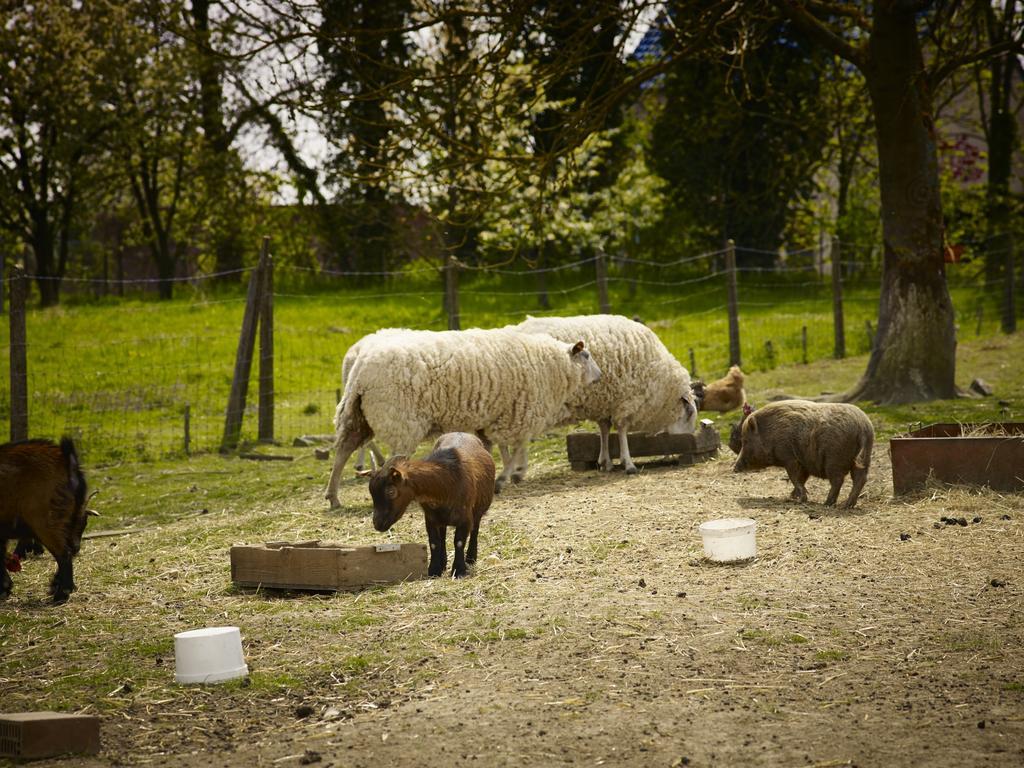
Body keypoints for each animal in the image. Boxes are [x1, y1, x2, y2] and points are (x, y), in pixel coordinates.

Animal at [0, 436, 96, 606]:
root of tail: (67, 461)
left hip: (44, 520)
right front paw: (5, 588)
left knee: (64, 554)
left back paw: (61, 595)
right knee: (68, 550)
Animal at [325, 325, 598, 512]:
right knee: (392, 461)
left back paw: (333, 496)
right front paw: (508, 476)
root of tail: (361, 371)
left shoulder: (494, 416)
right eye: (586, 356)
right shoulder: (516, 412)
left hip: (357, 417)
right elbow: (517, 445)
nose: (600, 376)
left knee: (343, 452)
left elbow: (500, 448)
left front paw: (508, 473)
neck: (554, 365)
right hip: (402, 420)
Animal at [364, 436, 495, 581]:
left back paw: (471, 558)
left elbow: (459, 542)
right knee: (442, 536)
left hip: (477, 510)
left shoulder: (465, 517)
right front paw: (434, 570)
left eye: (391, 491)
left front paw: (459, 571)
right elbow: (434, 543)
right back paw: (443, 562)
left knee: (475, 530)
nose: (377, 524)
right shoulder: (430, 517)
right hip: (441, 518)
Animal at [507, 313, 700, 475]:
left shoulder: (605, 402)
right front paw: (628, 463)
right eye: (690, 414)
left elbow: (604, 429)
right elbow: (621, 429)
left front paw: (605, 462)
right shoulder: (625, 400)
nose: (691, 441)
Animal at [737, 399, 872, 507]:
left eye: (745, 440)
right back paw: (847, 505)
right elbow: (802, 478)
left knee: (838, 480)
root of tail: (863, 426)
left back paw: (827, 503)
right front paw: (791, 496)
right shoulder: (803, 462)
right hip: (864, 458)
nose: (734, 467)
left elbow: (794, 478)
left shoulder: (790, 458)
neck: (771, 432)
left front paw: (800, 499)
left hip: (834, 459)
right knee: (860, 478)